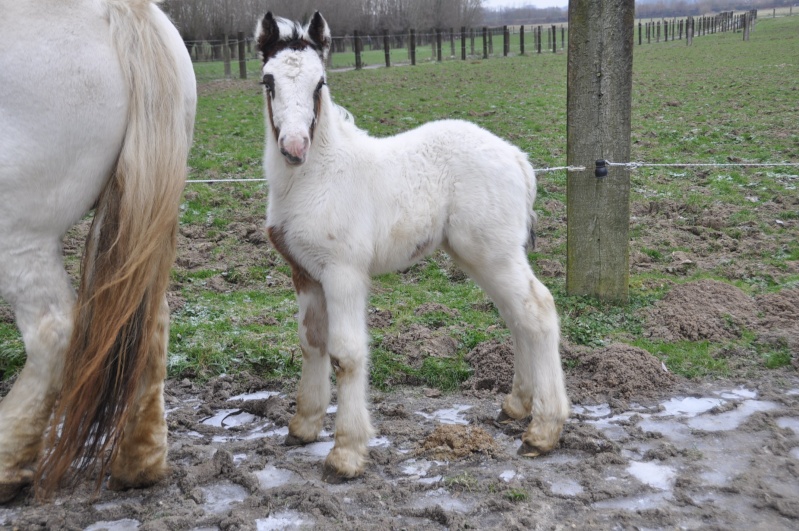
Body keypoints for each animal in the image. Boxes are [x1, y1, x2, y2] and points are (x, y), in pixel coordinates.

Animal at [256, 11, 568, 482]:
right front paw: (303, 426)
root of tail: (518, 159)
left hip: (494, 254)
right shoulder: (305, 272)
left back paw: (543, 431)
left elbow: (346, 354)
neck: (314, 177)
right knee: (517, 318)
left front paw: (346, 454)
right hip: (481, 257)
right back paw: (517, 406)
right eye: (268, 81)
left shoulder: (343, 273)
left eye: (319, 82)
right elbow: (311, 343)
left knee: (539, 309)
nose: (294, 147)